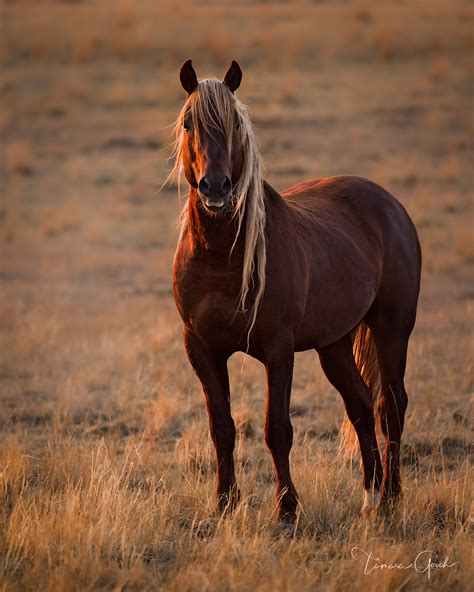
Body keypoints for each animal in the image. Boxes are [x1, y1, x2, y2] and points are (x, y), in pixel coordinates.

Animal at [169, 60, 422, 524]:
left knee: (391, 407)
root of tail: (390, 203)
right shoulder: (201, 348)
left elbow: (277, 429)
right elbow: (221, 427)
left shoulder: (278, 348)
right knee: (360, 406)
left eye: (235, 123)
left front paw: (287, 509)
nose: (216, 187)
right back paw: (370, 495)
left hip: (392, 328)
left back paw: (391, 498)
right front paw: (224, 503)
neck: (222, 257)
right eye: (187, 122)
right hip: (334, 344)